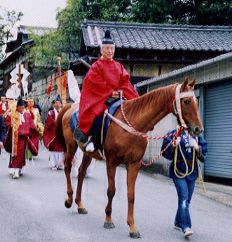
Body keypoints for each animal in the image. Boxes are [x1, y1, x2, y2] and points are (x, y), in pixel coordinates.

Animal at [55, 77, 203, 238]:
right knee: (68, 168)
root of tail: (71, 106)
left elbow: (131, 195)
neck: (133, 123)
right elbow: (111, 190)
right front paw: (108, 219)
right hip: (71, 146)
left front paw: (132, 226)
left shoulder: (134, 163)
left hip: (88, 153)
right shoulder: (111, 162)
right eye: (186, 101)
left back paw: (79, 204)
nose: (198, 129)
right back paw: (69, 199)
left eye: (196, 102)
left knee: (81, 172)